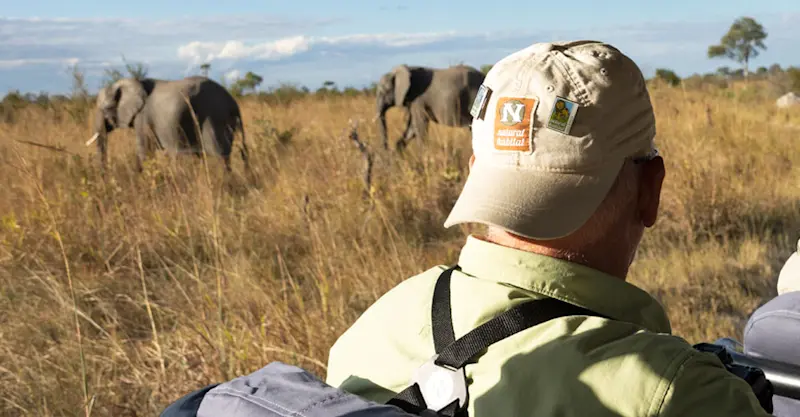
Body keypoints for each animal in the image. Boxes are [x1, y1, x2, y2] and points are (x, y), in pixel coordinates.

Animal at [86, 75, 248, 173]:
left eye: (106, 109)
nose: (104, 175)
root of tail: (233, 103)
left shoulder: (143, 118)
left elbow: (144, 151)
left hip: (213, 116)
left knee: (218, 154)